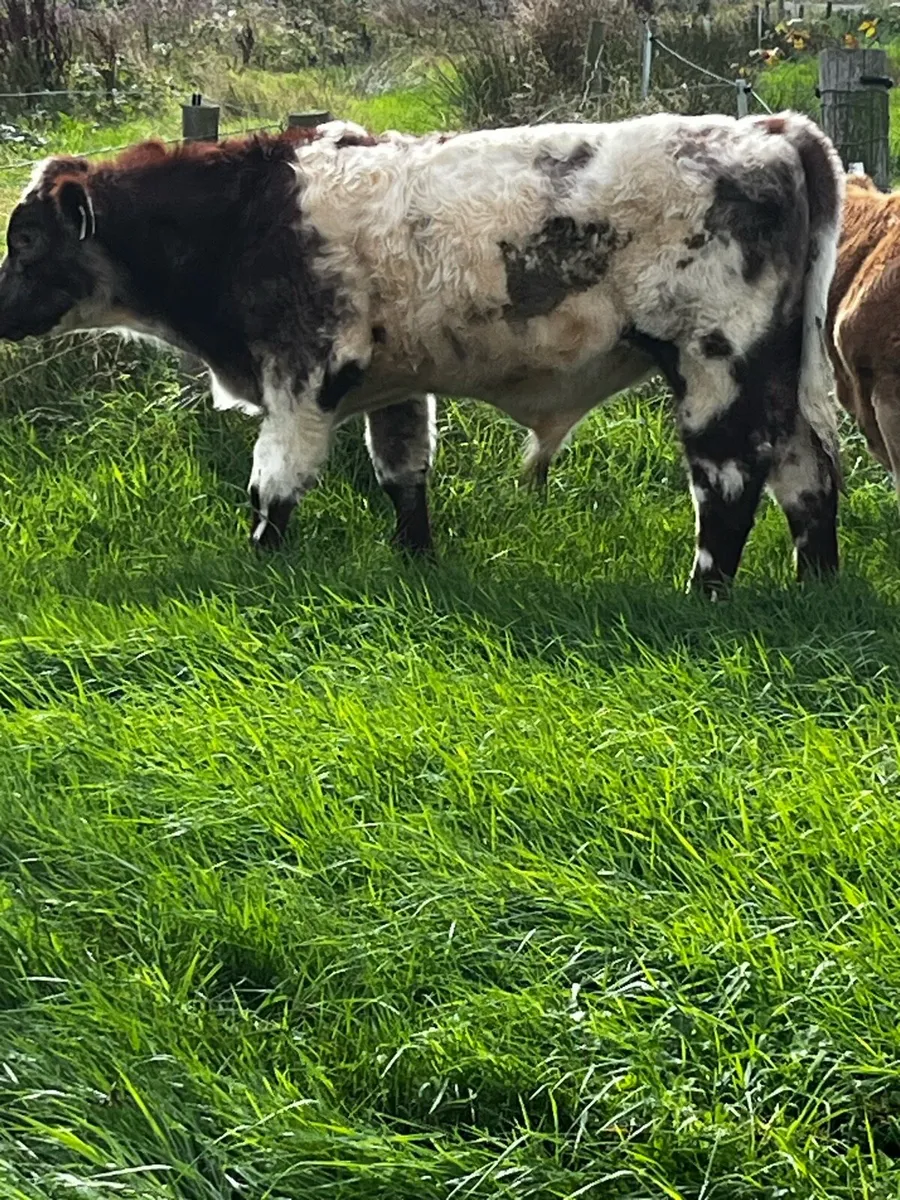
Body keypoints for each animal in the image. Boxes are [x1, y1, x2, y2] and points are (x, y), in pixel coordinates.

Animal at [0, 112, 844, 594]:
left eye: (28, 238)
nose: (0, 311)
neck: (246, 214)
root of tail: (772, 128)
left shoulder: (302, 373)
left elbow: (272, 487)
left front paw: (259, 569)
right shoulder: (396, 384)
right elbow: (403, 474)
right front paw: (415, 562)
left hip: (717, 362)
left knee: (731, 480)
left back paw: (704, 593)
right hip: (780, 371)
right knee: (808, 472)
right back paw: (817, 585)